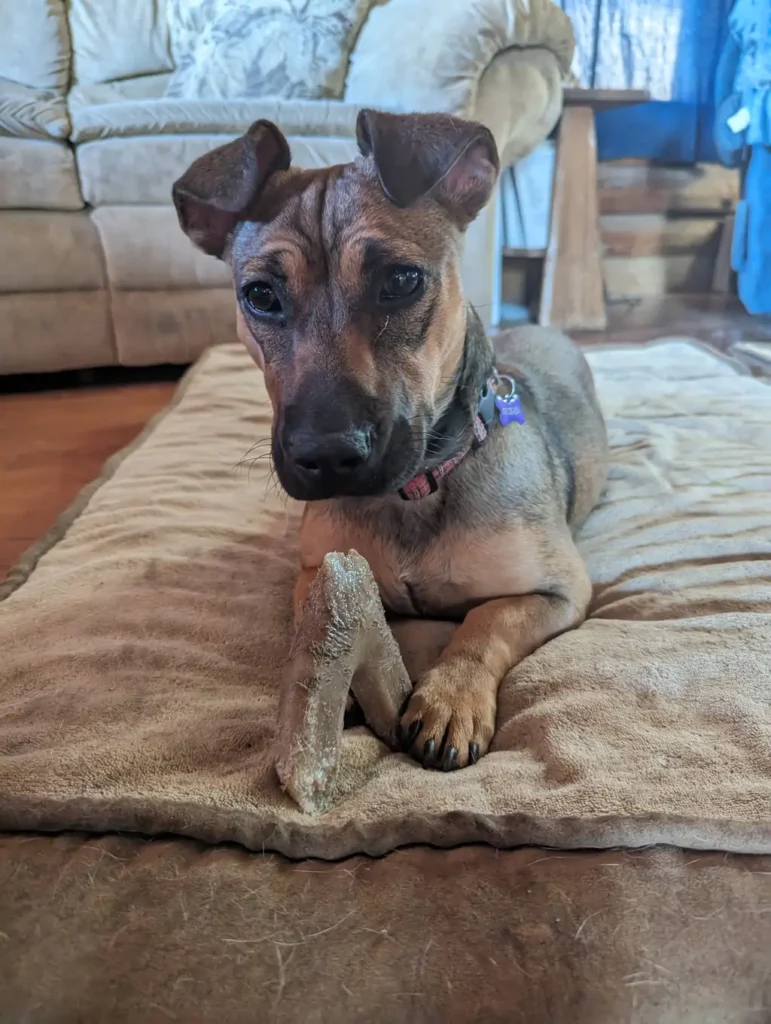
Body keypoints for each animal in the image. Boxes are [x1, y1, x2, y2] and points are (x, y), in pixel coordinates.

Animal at [173, 108, 606, 770]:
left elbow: (486, 623)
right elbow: (317, 617)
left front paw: (450, 698)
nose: (326, 456)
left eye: (402, 280)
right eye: (260, 296)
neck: (414, 491)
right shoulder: (312, 570)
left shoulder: (557, 591)